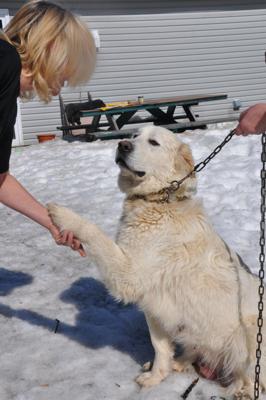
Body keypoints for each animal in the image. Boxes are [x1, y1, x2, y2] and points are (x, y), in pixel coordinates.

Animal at [48, 126, 266, 400]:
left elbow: (94, 232)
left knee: (251, 376)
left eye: (153, 142)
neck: (158, 200)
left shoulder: (129, 275)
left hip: (250, 332)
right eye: (133, 135)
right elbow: (159, 346)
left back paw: (241, 390)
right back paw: (181, 362)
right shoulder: (155, 306)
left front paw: (63, 214)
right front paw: (156, 376)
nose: (122, 145)